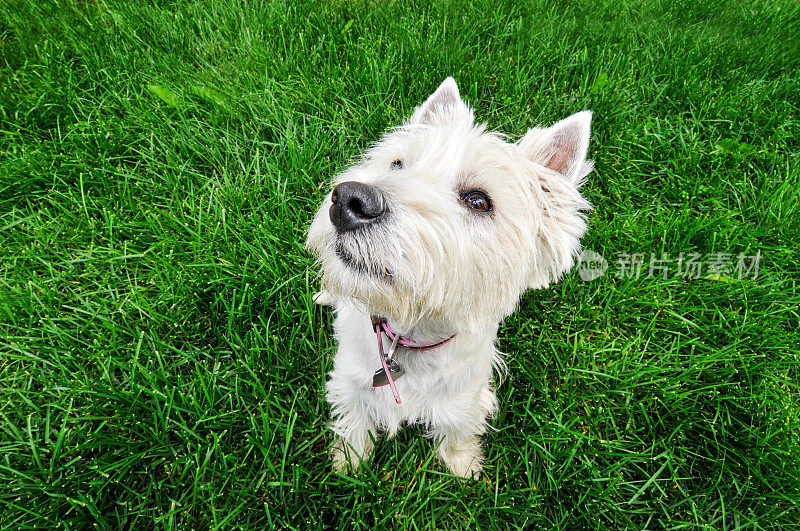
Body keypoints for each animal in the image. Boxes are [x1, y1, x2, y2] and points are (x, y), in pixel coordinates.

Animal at [306, 78, 592, 478]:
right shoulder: (349, 380)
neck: (409, 337)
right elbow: (353, 421)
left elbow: (457, 428)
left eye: (478, 201)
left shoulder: (466, 396)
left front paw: (463, 467)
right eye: (397, 164)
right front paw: (349, 461)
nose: (350, 200)